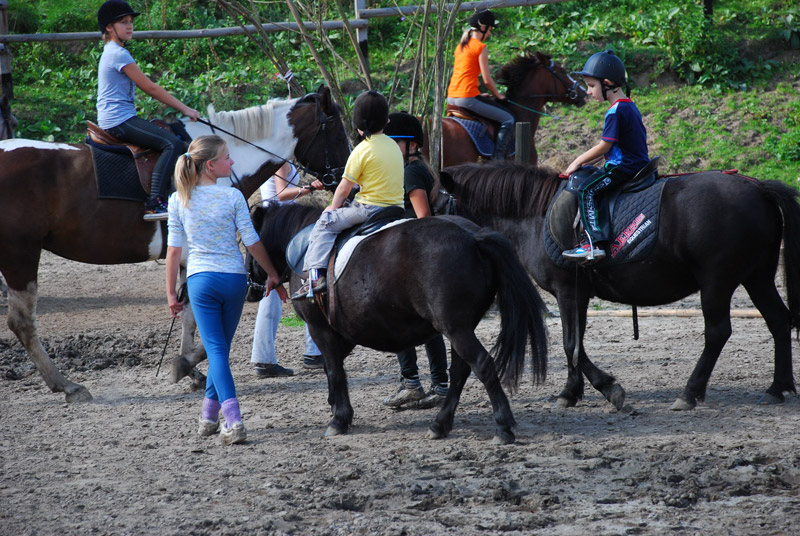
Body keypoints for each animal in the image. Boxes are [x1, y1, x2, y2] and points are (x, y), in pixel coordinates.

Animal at [0, 86, 350, 400]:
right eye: (336, 131)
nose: (345, 179)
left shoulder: (188, 257)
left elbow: (189, 315)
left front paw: (190, 370)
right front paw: (188, 364)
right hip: (20, 255)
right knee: (22, 322)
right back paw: (67, 385)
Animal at [248, 203, 552, 442]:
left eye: (248, 245)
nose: (251, 289)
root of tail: (473, 236)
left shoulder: (321, 329)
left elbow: (334, 371)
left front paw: (339, 419)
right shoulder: (342, 333)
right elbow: (333, 370)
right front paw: (336, 407)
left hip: (456, 329)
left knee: (482, 365)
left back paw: (502, 427)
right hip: (460, 328)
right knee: (460, 371)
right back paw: (440, 424)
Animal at [440, 162, 800, 410]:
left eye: (438, 201)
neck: (535, 214)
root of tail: (757, 187)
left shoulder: (568, 292)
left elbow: (571, 345)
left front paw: (597, 390)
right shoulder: (577, 295)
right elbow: (576, 345)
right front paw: (577, 391)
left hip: (718, 281)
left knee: (717, 332)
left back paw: (690, 392)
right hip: (757, 277)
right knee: (778, 321)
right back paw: (777, 387)